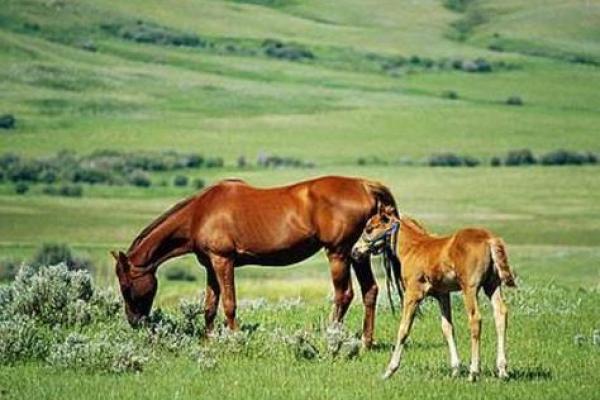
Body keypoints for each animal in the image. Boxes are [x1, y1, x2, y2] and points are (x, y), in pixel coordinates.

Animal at [112, 176, 396, 346]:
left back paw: (331, 338)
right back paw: (365, 343)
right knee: (370, 291)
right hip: (358, 253)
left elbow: (229, 304)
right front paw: (209, 341)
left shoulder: (223, 261)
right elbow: (209, 306)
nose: (134, 322)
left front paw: (234, 339)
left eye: (125, 286)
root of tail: (365, 185)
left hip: (339, 253)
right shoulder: (210, 266)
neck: (199, 213)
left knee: (343, 295)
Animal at [352, 206, 516, 382]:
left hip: (470, 288)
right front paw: (455, 369)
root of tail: (489, 239)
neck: (413, 248)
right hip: (492, 285)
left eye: (369, 229)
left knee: (475, 319)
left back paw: (474, 372)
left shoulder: (413, 293)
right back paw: (502, 370)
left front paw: (389, 370)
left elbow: (403, 328)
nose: (355, 251)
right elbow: (447, 327)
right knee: (500, 314)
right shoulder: (442, 295)